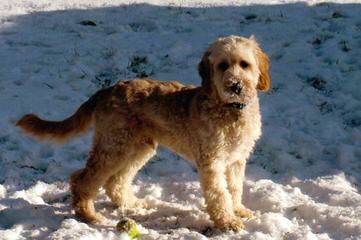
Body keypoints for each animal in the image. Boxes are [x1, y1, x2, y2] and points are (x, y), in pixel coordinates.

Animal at [16, 34, 270, 232]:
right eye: (222, 65)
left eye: (244, 64)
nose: (235, 85)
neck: (230, 110)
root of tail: (107, 90)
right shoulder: (212, 161)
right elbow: (219, 193)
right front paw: (227, 222)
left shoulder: (236, 159)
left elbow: (234, 188)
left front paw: (238, 210)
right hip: (114, 146)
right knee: (82, 179)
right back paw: (89, 216)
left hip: (137, 147)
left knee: (115, 181)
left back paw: (132, 204)